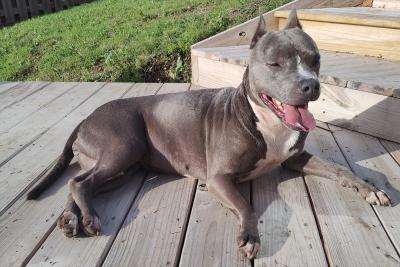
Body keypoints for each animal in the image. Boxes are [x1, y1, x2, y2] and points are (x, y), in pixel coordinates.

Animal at [28, 9, 390, 260]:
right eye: (275, 63)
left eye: (315, 60)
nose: (311, 85)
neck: (265, 119)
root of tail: (85, 118)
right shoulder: (218, 179)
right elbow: (246, 205)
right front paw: (249, 236)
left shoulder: (296, 158)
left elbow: (338, 168)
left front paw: (368, 187)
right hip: (123, 147)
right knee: (80, 183)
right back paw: (89, 219)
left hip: (119, 168)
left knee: (78, 184)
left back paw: (70, 219)